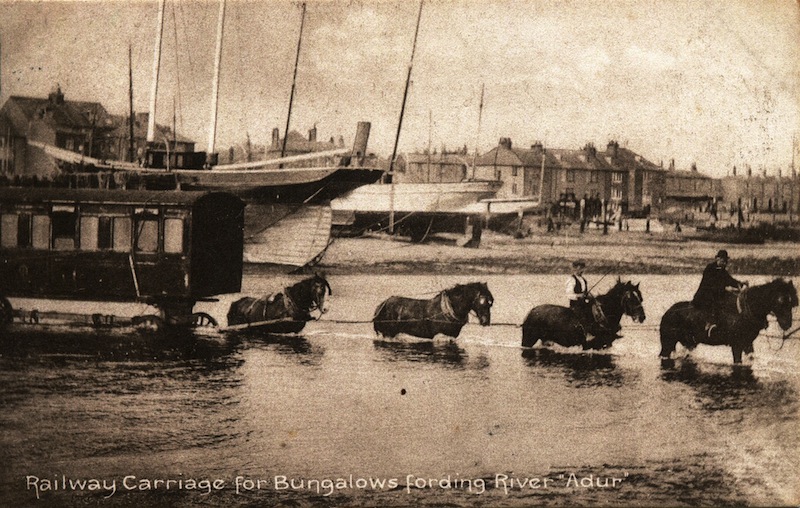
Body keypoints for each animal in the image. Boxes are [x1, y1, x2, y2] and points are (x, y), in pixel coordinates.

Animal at [520, 280, 648, 352]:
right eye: (630, 298)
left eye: (640, 298)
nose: (642, 316)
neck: (602, 316)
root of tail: (531, 312)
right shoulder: (589, 345)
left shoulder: (605, 344)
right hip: (528, 340)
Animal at [660, 278, 796, 366]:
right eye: (780, 301)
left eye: (792, 303)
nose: (787, 324)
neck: (745, 311)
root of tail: (668, 312)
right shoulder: (737, 345)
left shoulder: (748, 343)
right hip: (667, 343)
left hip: (689, 343)